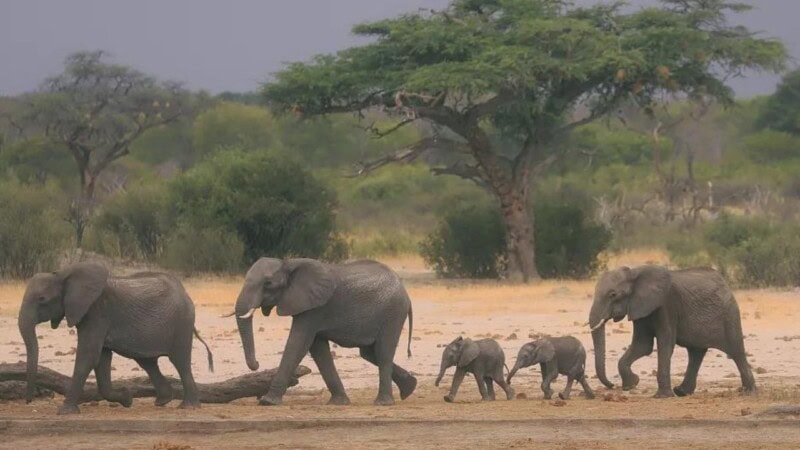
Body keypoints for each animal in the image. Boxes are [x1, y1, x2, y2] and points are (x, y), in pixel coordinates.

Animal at [18, 263, 214, 414]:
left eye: (42, 299)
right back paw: (162, 401)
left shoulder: (97, 312)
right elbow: (101, 359)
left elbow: (88, 356)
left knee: (180, 362)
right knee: (147, 362)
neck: (63, 274)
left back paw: (188, 407)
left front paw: (65, 412)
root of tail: (185, 292)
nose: (29, 401)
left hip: (182, 323)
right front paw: (127, 398)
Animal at [230, 258, 416, 406]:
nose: (257, 364)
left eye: (268, 284)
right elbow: (318, 350)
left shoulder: (314, 309)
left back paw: (383, 403)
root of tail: (405, 293)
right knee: (369, 353)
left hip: (393, 313)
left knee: (383, 352)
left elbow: (298, 343)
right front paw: (338, 403)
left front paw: (267, 402)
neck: (289, 264)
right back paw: (409, 388)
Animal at [588, 265, 756, 398]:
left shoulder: (667, 304)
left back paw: (749, 391)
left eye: (613, 295)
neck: (635, 273)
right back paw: (681, 392)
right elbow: (642, 345)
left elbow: (664, 343)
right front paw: (632, 383)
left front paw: (662, 396)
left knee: (736, 351)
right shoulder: (640, 308)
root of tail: (725, 283)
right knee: (696, 353)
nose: (612, 385)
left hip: (729, 313)